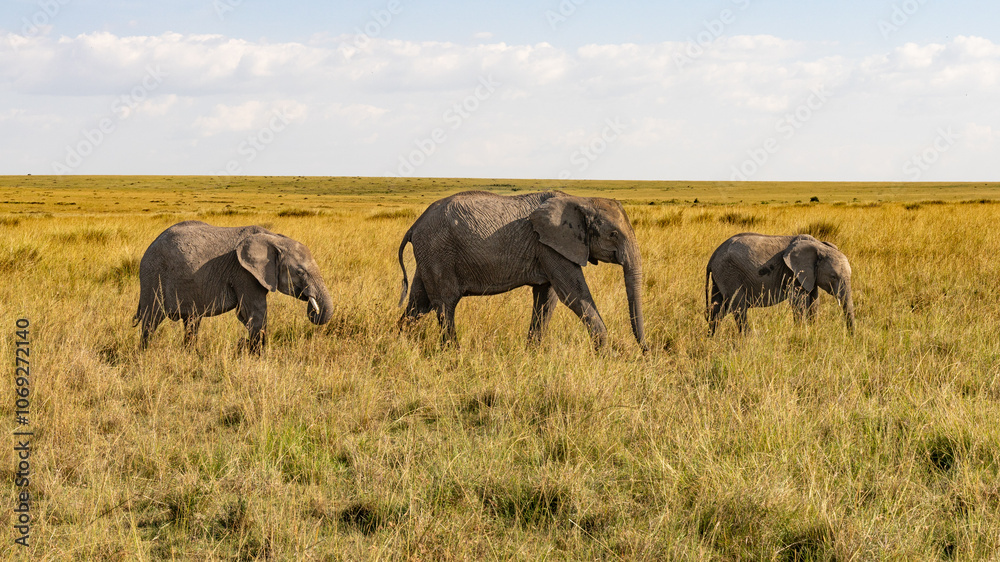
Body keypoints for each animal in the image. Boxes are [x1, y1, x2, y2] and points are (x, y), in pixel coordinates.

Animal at [133, 220, 333, 351]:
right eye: (300, 272)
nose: (312, 308)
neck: (275, 239)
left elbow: (246, 314)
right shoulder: (243, 272)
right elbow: (255, 311)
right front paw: (256, 355)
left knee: (191, 322)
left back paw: (190, 354)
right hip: (153, 276)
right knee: (151, 320)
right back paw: (145, 354)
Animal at [396, 190, 646, 351]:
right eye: (613, 234)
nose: (646, 351)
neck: (580, 200)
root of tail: (415, 225)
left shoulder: (548, 247)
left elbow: (547, 299)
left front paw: (533, 354)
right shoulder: (550, 246)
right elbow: (573, 295)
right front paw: (605, 355)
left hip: (429, 255)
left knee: (418, 304)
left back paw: (401, 345)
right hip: (438, 251)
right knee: (445, 304)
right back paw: (453, 354)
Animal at [706, 233, 854, 335]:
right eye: (833, 276)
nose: (851, 338)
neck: (819, 246)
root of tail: (713, 256)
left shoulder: (810, 275)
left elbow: (814, 302)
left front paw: (812, 331)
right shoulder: (792, 273)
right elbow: (799, 303)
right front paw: (801, 333)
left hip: (721, 276)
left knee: (718, 309)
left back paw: (712, 339)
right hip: (729, 273)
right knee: (738, 308)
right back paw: (747, 339)